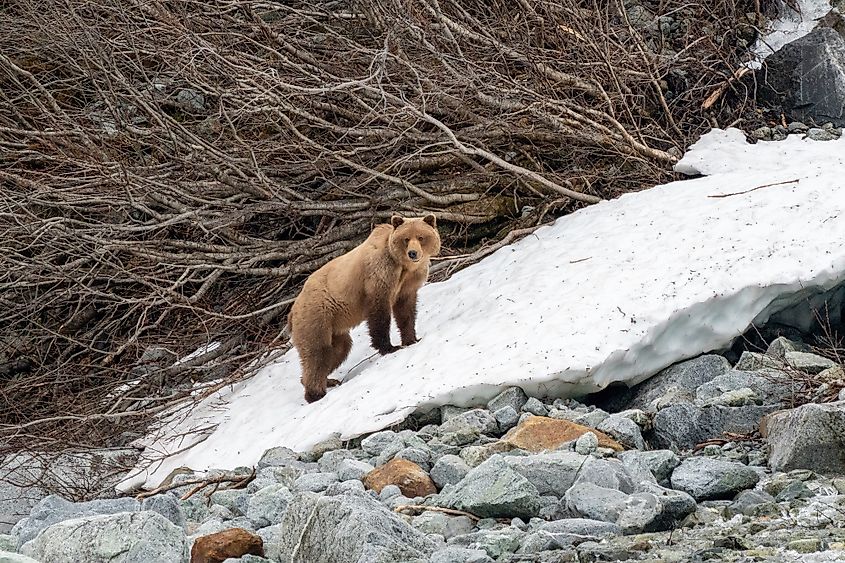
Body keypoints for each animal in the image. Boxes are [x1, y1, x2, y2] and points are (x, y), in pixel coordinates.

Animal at [288, 214, 438, 404]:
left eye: (421, 237)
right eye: (406, 239)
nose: (413, 253)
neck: (402, 266)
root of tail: (292, 311)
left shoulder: (408, 284)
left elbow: (406, 312)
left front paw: (412, 339)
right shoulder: (379, 275)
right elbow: (379, 313)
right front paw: (389, 347)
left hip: (334, 327)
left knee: (339, 350)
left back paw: (327, 380)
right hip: (316, 316)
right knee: (318, 353)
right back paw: (316, 394)